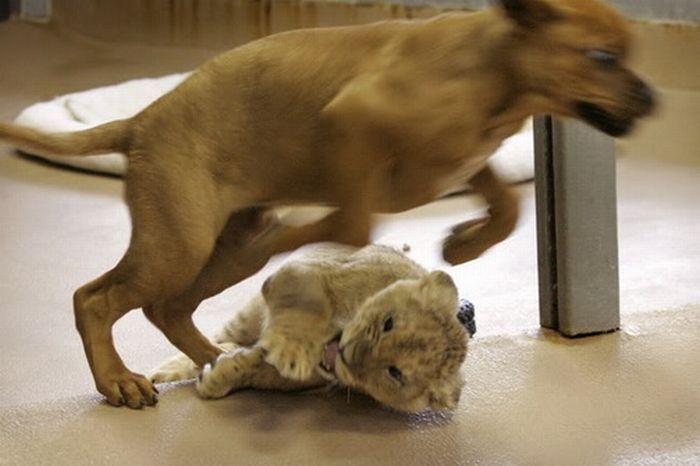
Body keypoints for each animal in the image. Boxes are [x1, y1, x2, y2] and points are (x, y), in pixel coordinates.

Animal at [1, 0, 656, 408]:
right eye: (602, 57)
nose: (652, 101)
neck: (492, 72)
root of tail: (139, 122)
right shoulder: (351, 119)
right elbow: (355, 220)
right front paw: (307, 238)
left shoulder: (466, 160)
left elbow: (506, 207)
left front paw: (466, 243)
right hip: (179, 245)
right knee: (96, 298)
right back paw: (119, 382)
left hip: (226, 248)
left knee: (168, 307)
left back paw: (217, 359)